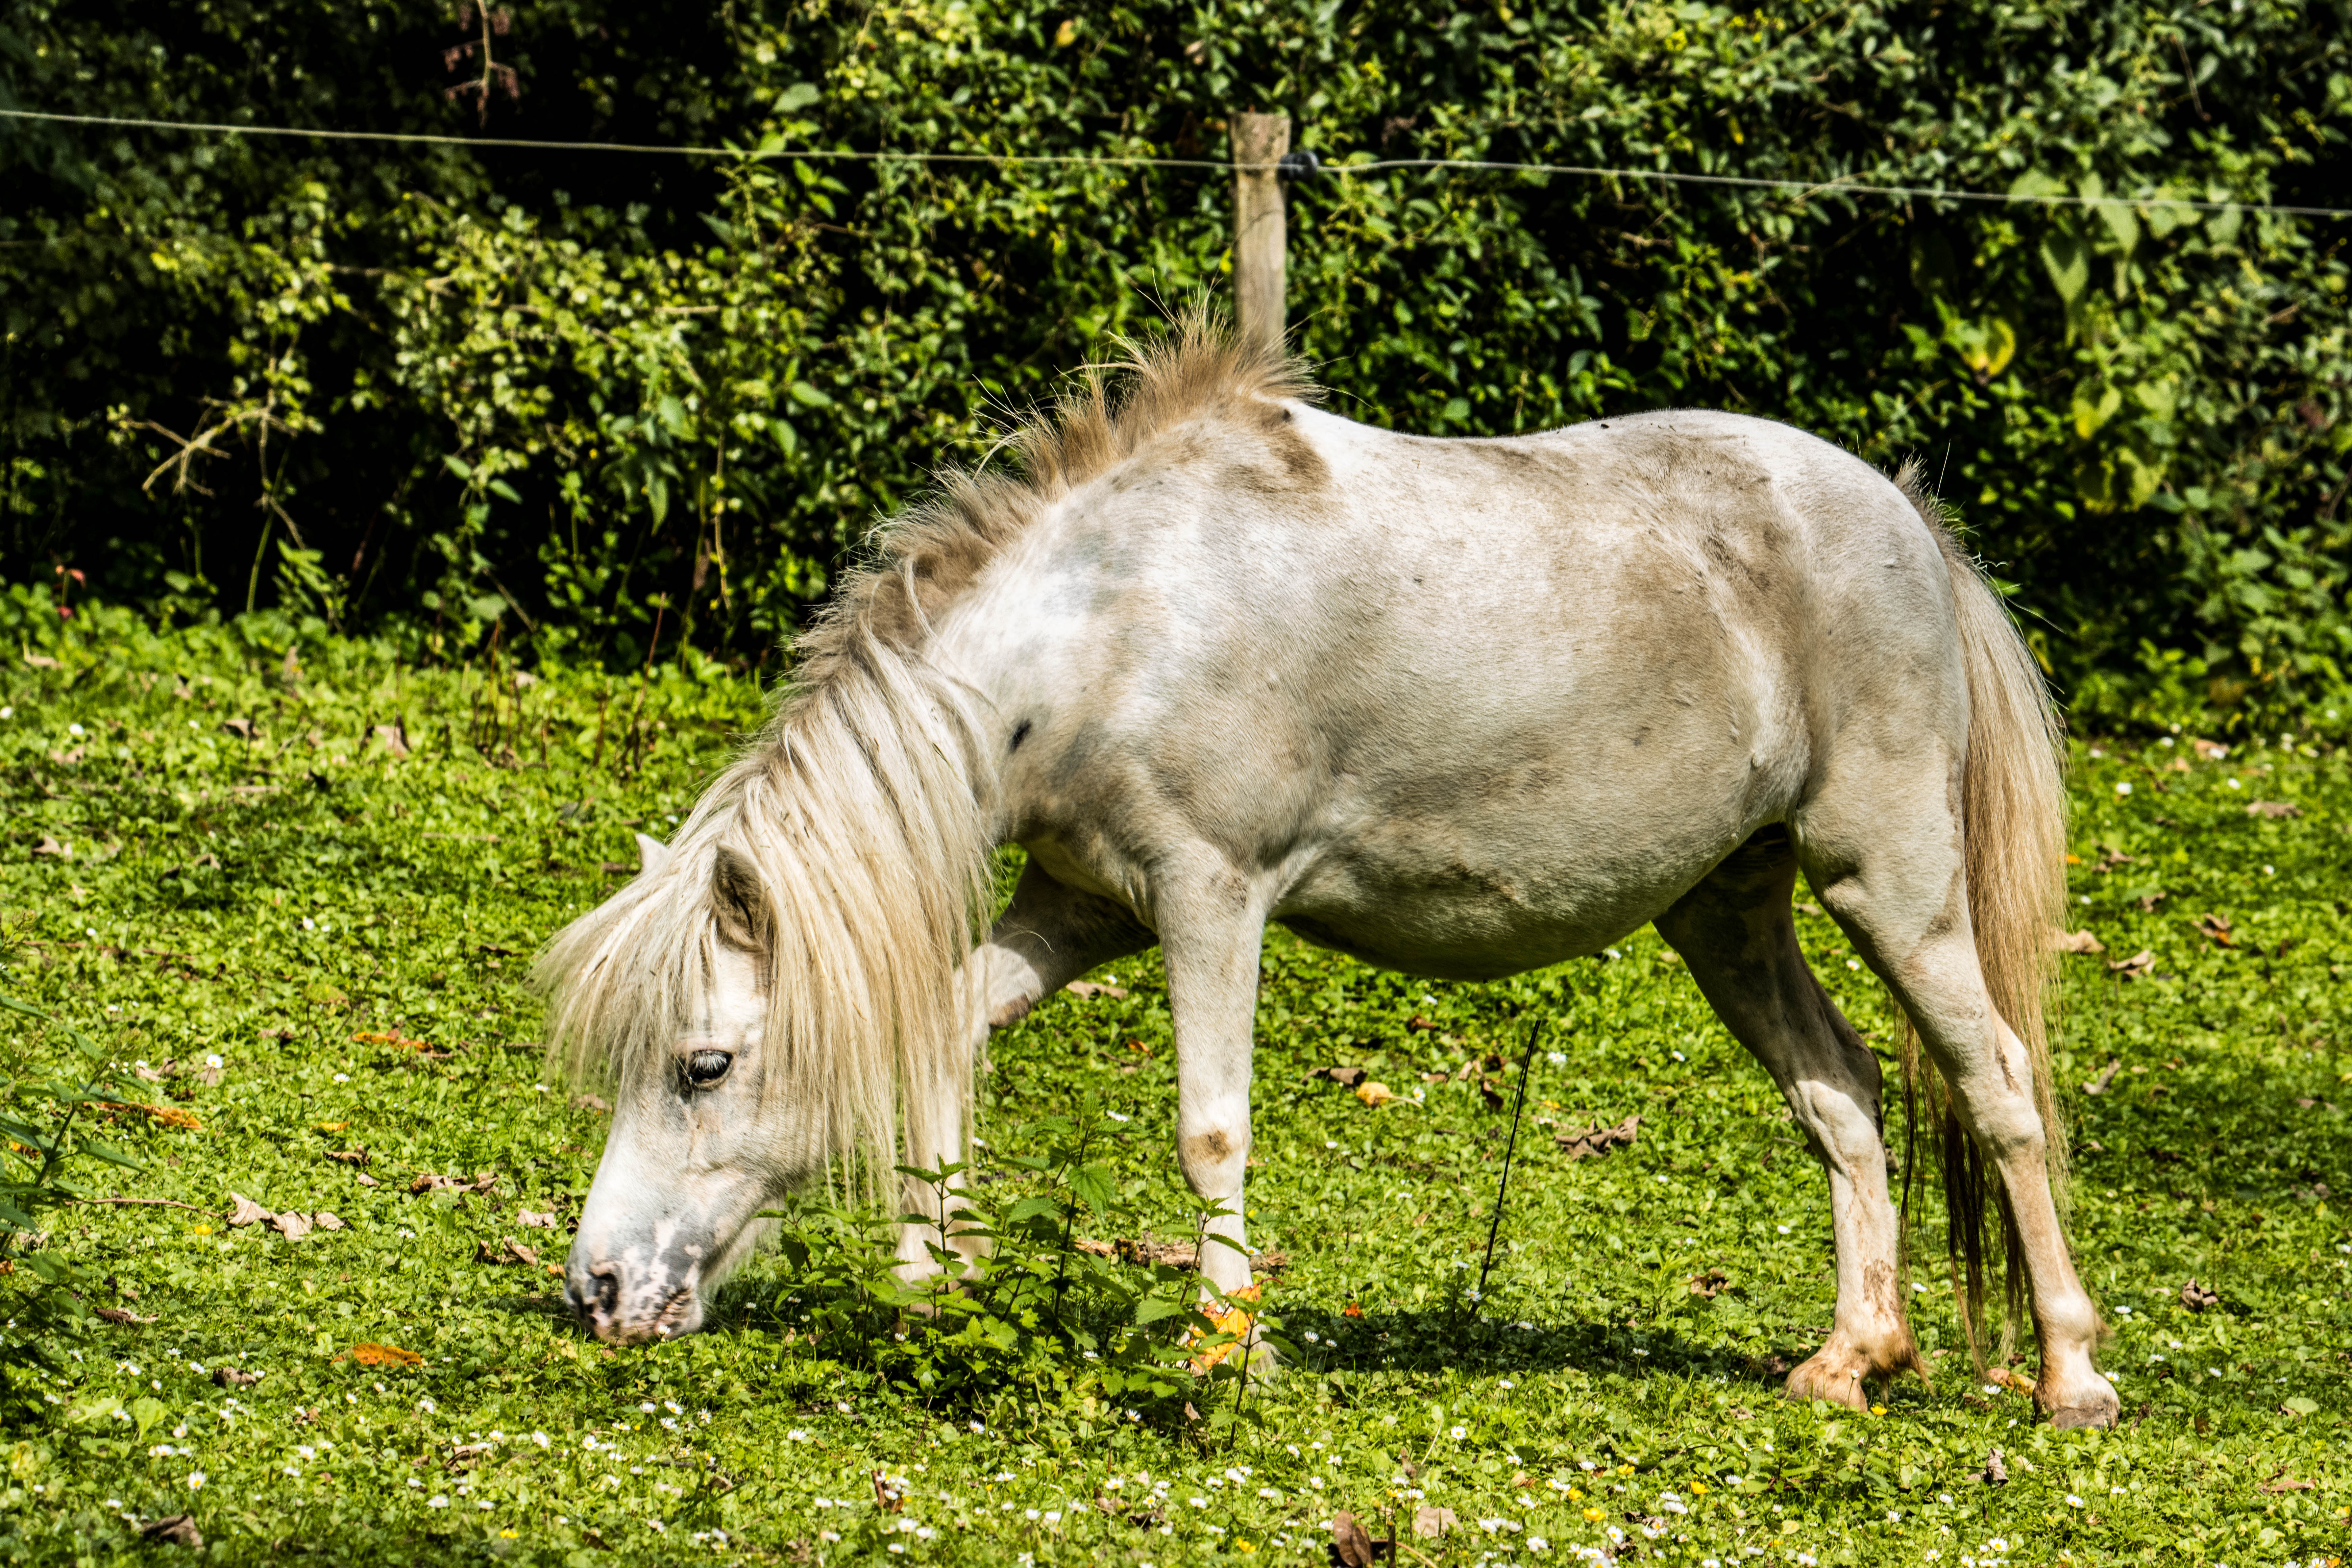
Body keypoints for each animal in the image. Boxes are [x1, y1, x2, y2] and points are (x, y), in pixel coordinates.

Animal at [541, 313, 2126, 1429]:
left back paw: (2069, 1372)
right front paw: (937, 1292)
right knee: (1842, 1093)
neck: (1108, 623)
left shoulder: (1207, 895)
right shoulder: (1078, 905)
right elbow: (939, 1030)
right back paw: (1850, 1355)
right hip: (1725, 913)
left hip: (1889, 881)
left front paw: (1225, 1346)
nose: (598, 1289)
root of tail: (1906, 515)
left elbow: (1209, 1129)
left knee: (1997, 1082)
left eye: (701, 1062)